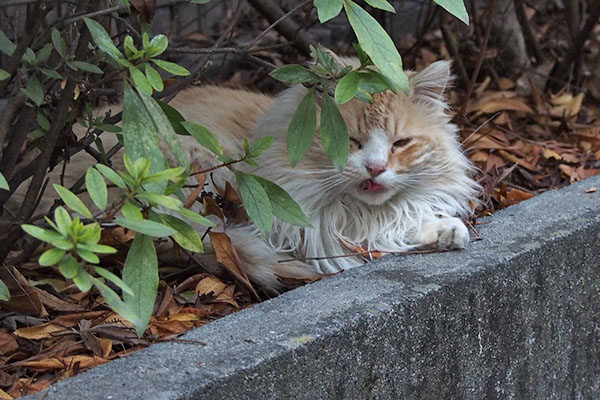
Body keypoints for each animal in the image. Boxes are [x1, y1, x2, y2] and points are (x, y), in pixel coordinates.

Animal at [5, 59, 478, 292]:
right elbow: (358, 239)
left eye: (400, 144)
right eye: (353, 142)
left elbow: (403, 222)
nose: (376, 168)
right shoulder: (307, 223)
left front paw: (444, 230)